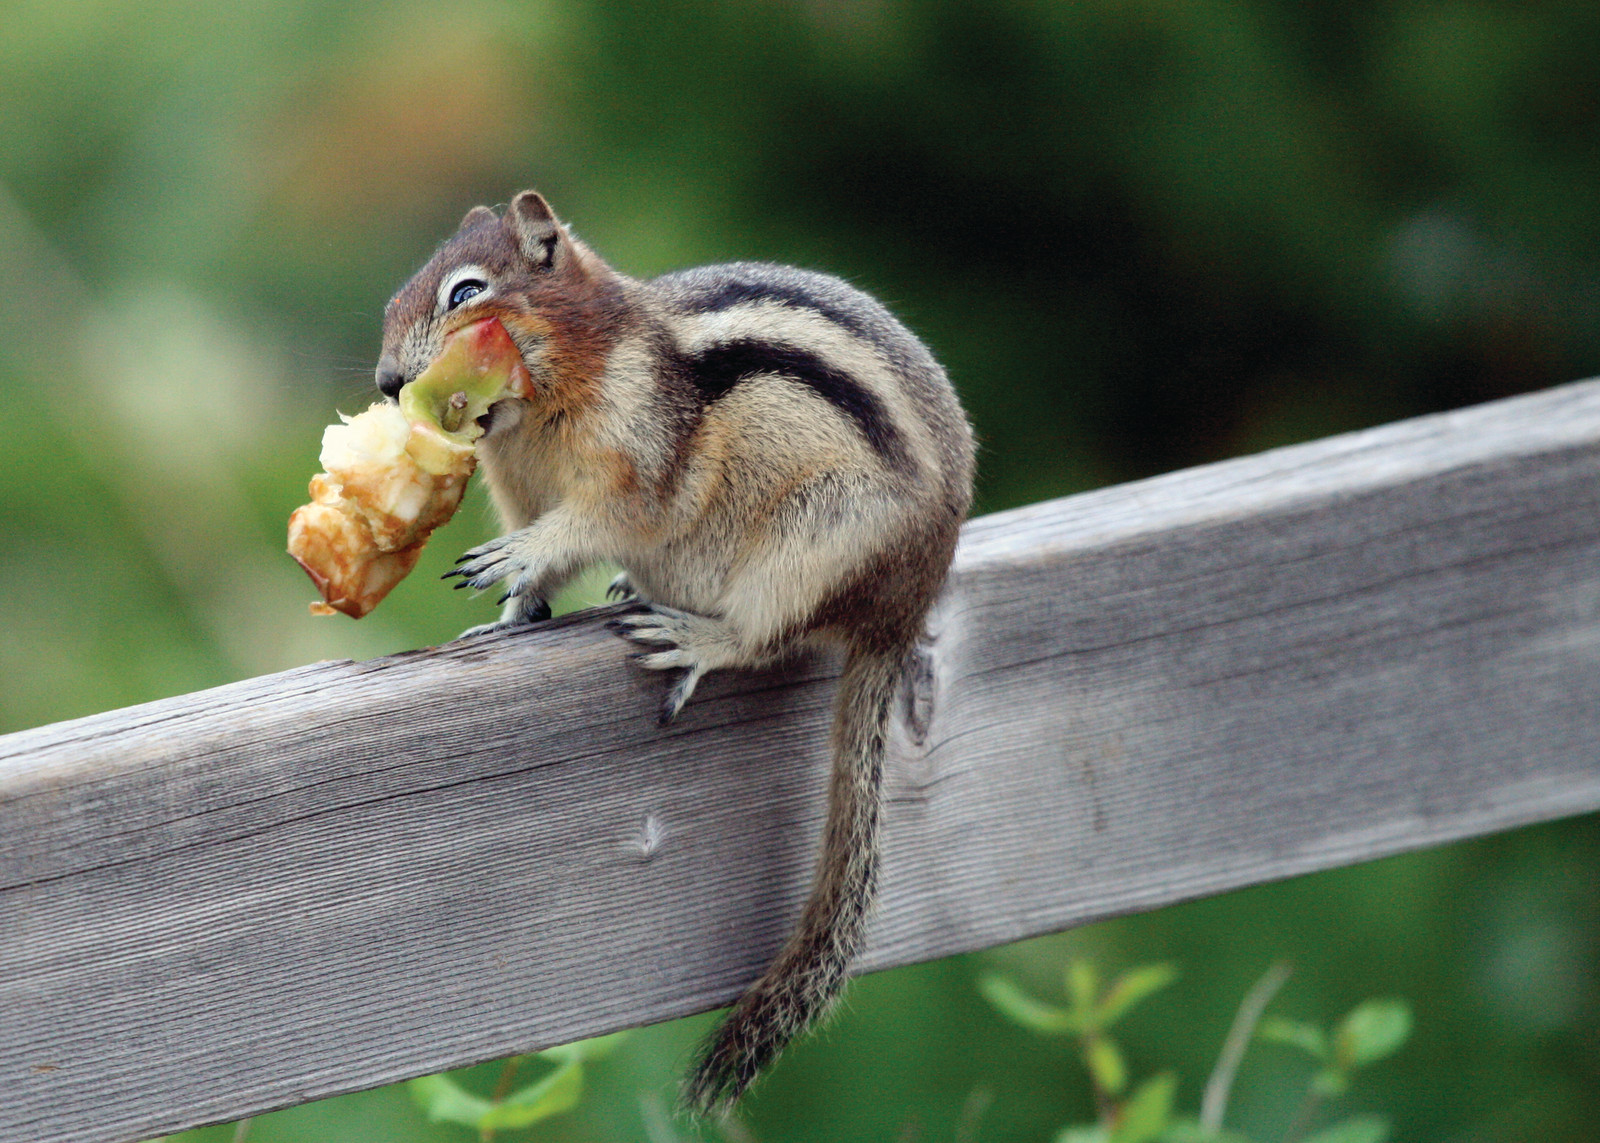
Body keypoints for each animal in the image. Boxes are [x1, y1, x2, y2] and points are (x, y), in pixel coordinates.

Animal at [376, 191, 975, 1114]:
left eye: (465, 292)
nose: (385, 383)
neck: (536, 413)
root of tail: (904, 610)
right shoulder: (519, 487)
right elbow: (546, 568)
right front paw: (510, 616)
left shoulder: (633, 464)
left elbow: (593, 524)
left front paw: (513, 564)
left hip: (813, 545)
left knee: (763, 636)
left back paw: (695, 636)